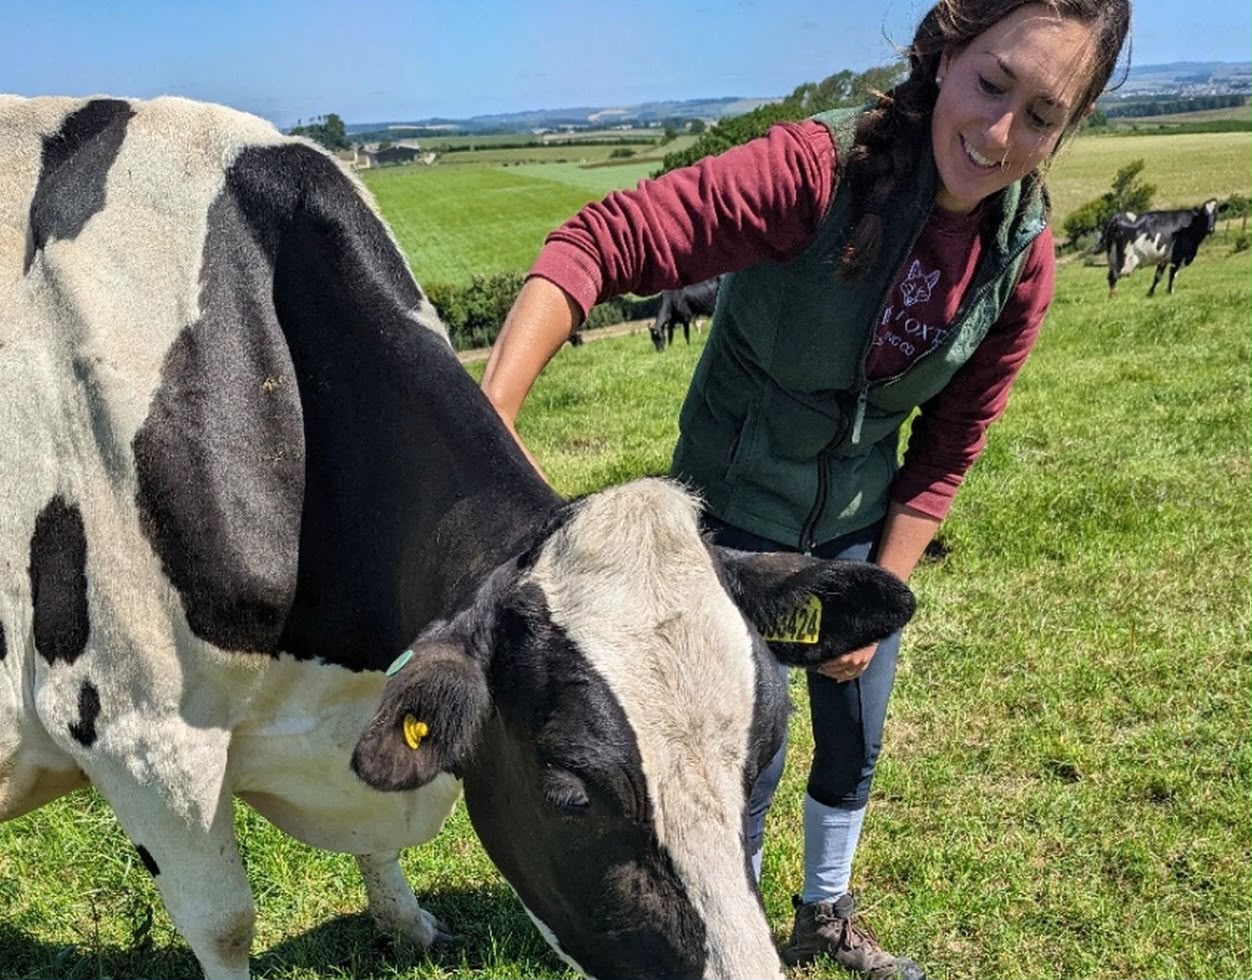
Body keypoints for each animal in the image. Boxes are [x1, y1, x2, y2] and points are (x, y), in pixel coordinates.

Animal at [0, 95, 916, 980]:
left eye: (766, 753)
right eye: (568, 792)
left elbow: (378, 846)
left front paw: (409, 927)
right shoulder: (142, 740)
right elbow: (225, 925)